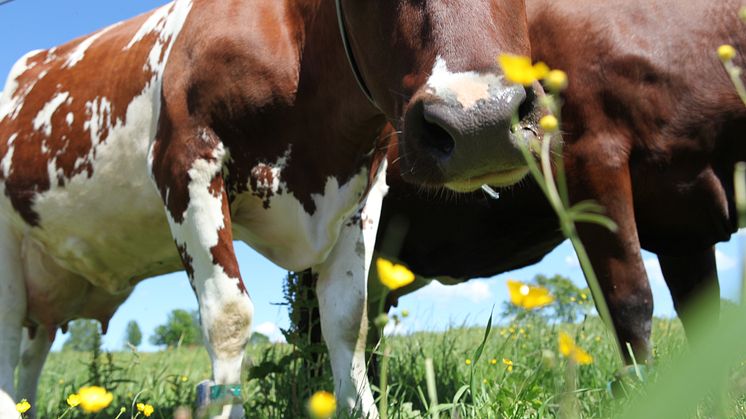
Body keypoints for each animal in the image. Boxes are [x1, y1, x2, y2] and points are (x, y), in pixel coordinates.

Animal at [0, 0, 536, 419]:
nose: (479, 124)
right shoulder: (185, 162)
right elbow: (229, 316)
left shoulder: (366, 190)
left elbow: (348, 319)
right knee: (9, 336)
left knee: (32, 348)